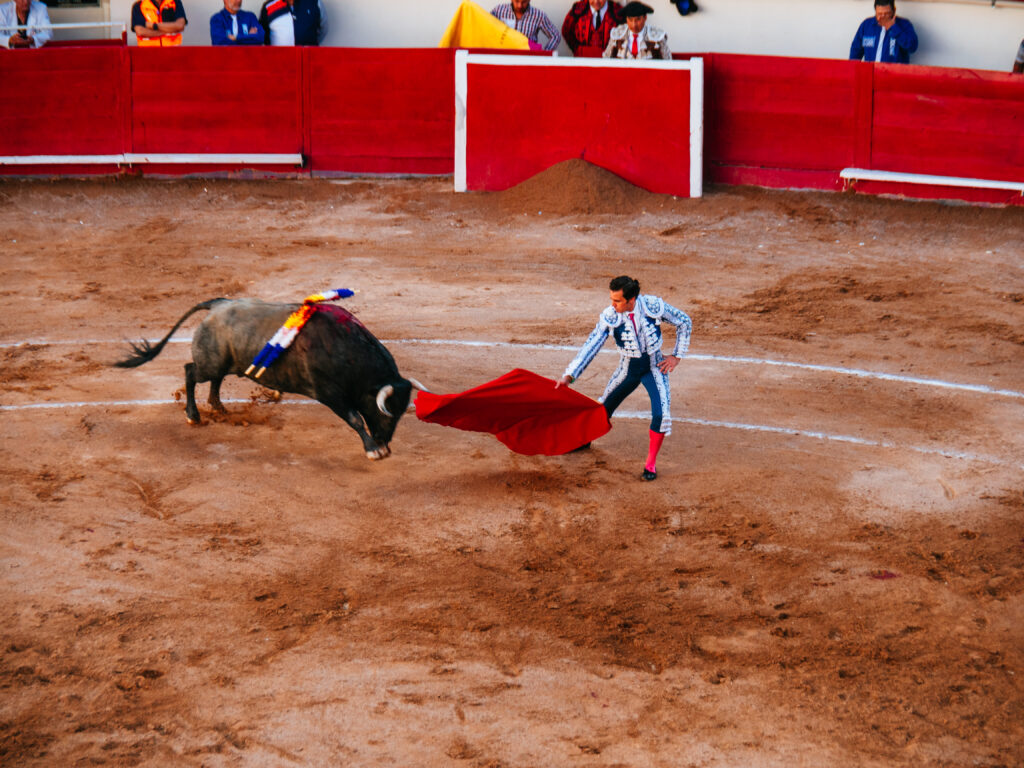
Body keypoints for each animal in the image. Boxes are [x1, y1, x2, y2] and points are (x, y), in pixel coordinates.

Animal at [116, 299, 423, 456]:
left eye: (401, 414)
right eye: (385, 412)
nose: (386, 443)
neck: (347, 351)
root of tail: (218, 305)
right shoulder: (329, 393)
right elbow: (355, 418)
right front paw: (372, 449)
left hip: (229, 363)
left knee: (214, 379)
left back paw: (218, 407)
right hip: (211, 363)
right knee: (191, 371)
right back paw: (194, 415)